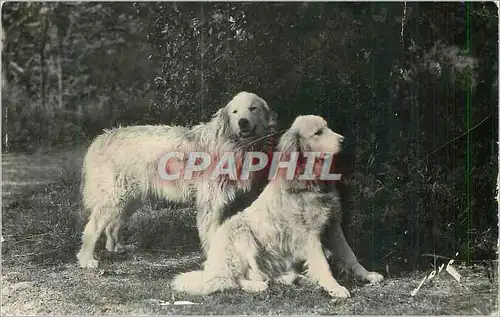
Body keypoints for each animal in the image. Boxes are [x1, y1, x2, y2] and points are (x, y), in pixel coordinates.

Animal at [77, 90, 278, 266]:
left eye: (253, 108)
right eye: (235, 112)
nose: (243, 122)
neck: (231, 143)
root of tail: (102, 137)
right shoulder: (211, 203)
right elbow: (211, 234)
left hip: (131, 199)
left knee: (113, 225)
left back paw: (115, 247)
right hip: (117, 197)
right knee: (92, 227)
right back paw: (87, 260)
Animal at [171, 115, 382, 296]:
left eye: (327, 127)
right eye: (318, 132)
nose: (344, 140)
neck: (310, 180)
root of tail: (212, 268)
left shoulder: (333, 227)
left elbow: (350, 255)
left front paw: (367, 274)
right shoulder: (309, 235)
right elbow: (323, 264)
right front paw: (334, 287)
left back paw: (293, 278)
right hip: (241, 234)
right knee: (234, 279)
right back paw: (257, 286)